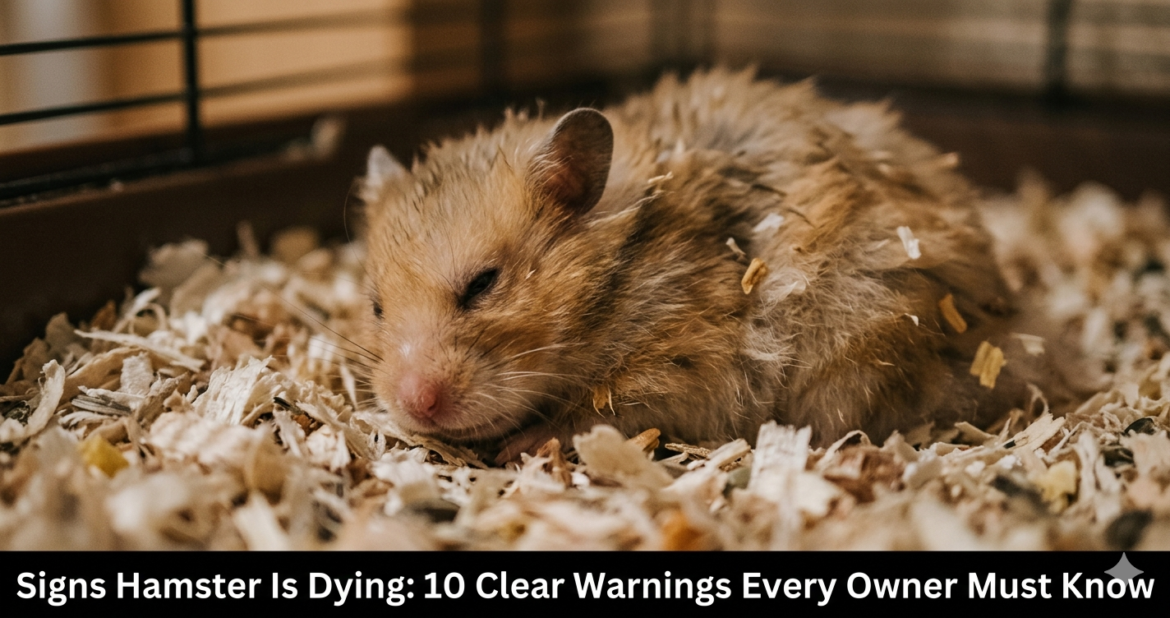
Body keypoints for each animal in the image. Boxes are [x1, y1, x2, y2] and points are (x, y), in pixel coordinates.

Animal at [359, 68, 1054, 461]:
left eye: (483, 284)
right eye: (376, 307)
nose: (411, 404)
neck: (622, 280)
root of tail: (1012, 320)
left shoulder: (687, 369)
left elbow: (602, 411)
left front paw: (521, 447)